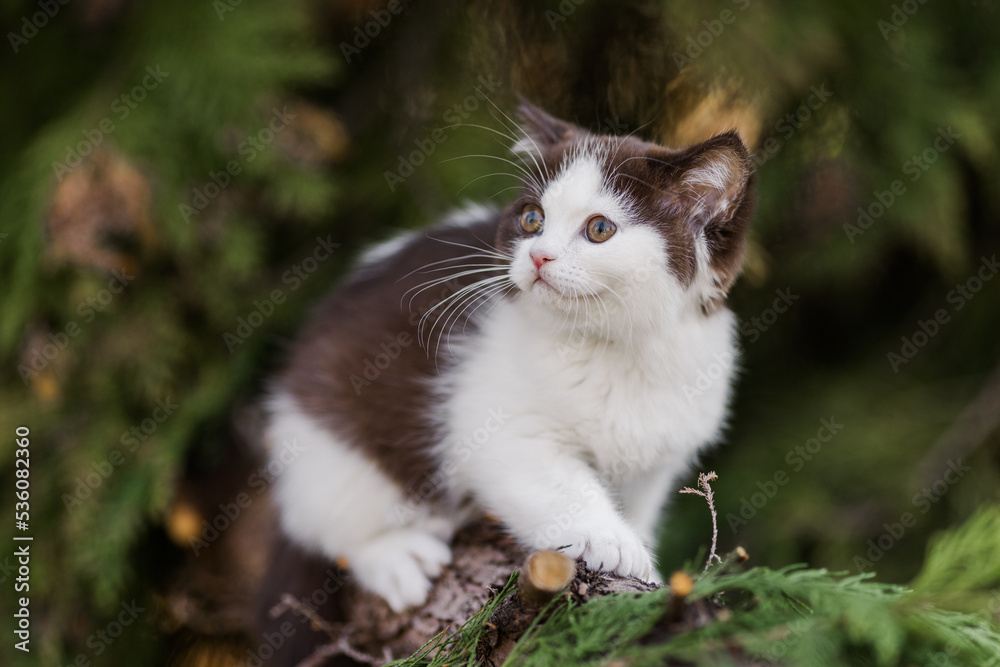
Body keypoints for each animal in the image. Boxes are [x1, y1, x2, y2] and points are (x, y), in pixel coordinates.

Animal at [262, 100, 752, 616]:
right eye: (532, 219)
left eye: (600, 229)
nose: (539, 256)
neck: (614, 347)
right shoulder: (495, 421)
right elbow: (554, 480)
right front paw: (613, 541)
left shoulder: (659, 458)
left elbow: (639, 506)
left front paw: (645, 564)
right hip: (332, 431)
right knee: (324, 519)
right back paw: (397, 556)